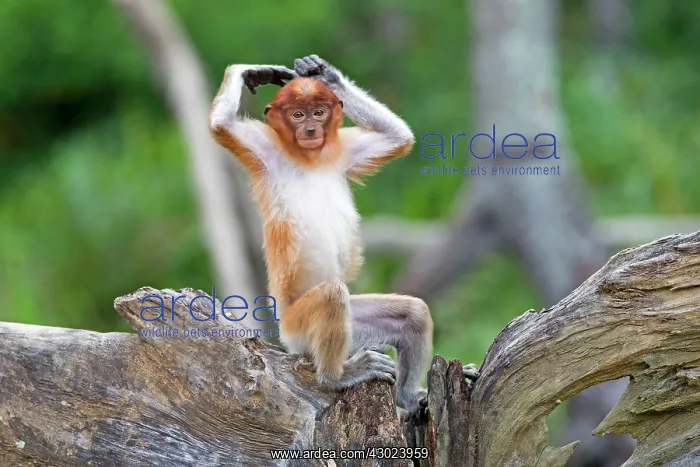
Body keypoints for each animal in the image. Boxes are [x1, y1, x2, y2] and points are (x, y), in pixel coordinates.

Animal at [209, 55, 479, 412]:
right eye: (297, 114)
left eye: (318, 112)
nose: (311, 129)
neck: (309, 157)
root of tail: (287, 335)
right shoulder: (265, 151)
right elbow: (221, 125)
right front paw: (250, 71)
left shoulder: (342, 152)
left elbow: (398, 137)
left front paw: (323, 73)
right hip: (299, 325)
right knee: (332, 294)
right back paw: (335, 377)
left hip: (352, 322)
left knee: (414, 314)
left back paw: (408, 397)